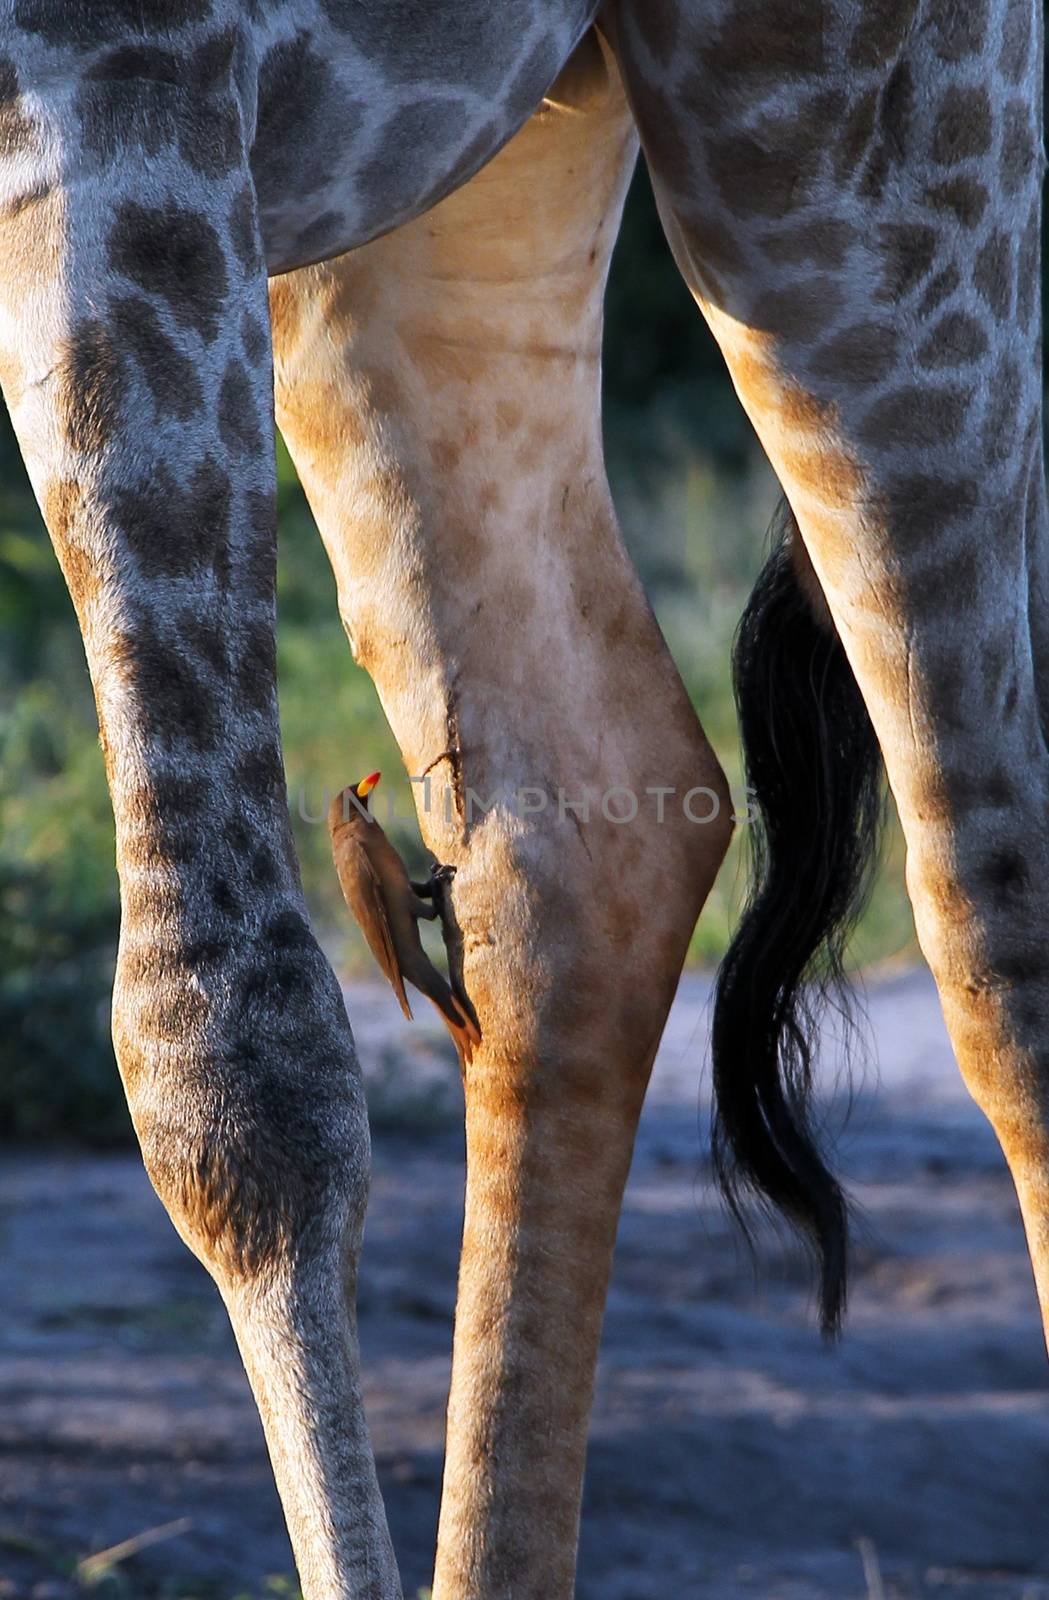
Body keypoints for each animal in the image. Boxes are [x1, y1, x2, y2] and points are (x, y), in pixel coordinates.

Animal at [0, 3, 1042, 1600]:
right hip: (436, 186)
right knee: (585, 825)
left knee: (986, 913)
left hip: (837, 123)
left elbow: (228, 1073)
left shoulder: (115, 88)